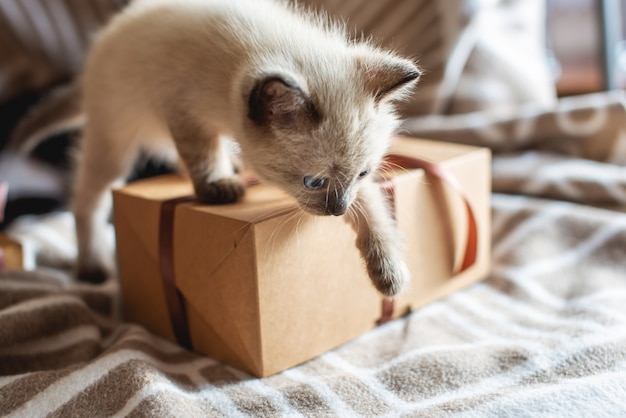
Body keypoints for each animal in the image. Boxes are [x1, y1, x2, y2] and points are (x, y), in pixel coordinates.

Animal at [73, 0, 420, 298]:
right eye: (314, 182)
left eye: (363, 173)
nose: (337, 211)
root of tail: (111, 29)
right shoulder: (184, 112)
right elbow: (202, 155)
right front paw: (218, 186)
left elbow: (373, 210)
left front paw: (390, 276)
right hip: (114, 140)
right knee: (88, 200)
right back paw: (92, 267)